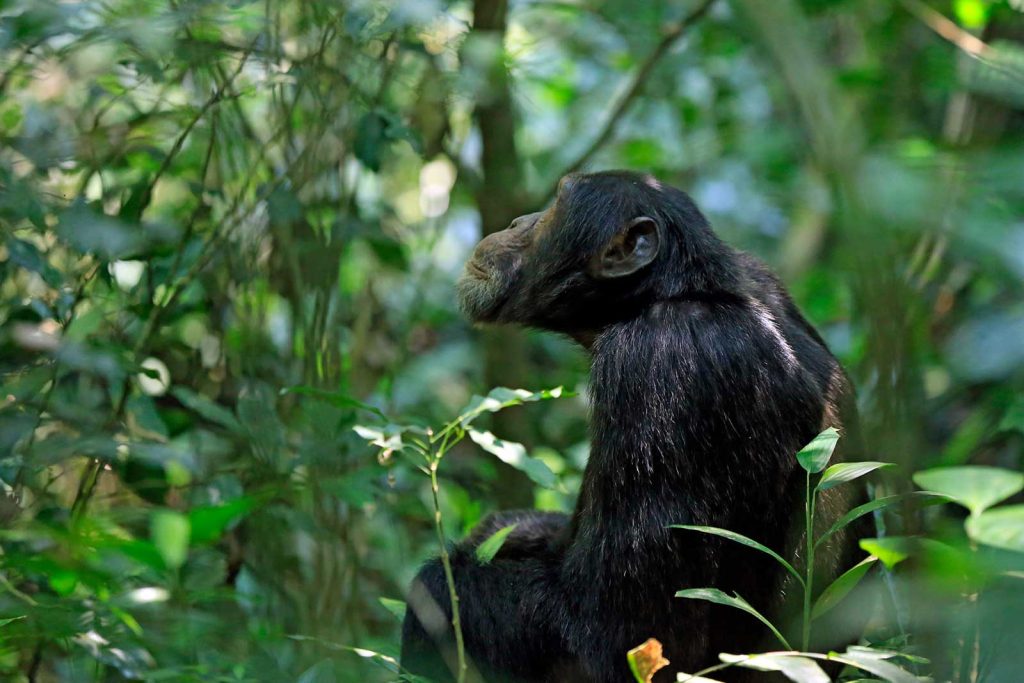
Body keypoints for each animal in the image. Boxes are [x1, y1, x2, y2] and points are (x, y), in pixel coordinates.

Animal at [401, 171, 863, 683]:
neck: (668, 294)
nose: (519, 220)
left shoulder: (662, 363)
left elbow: (617, 638)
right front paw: (509, 529)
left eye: (557, 202)